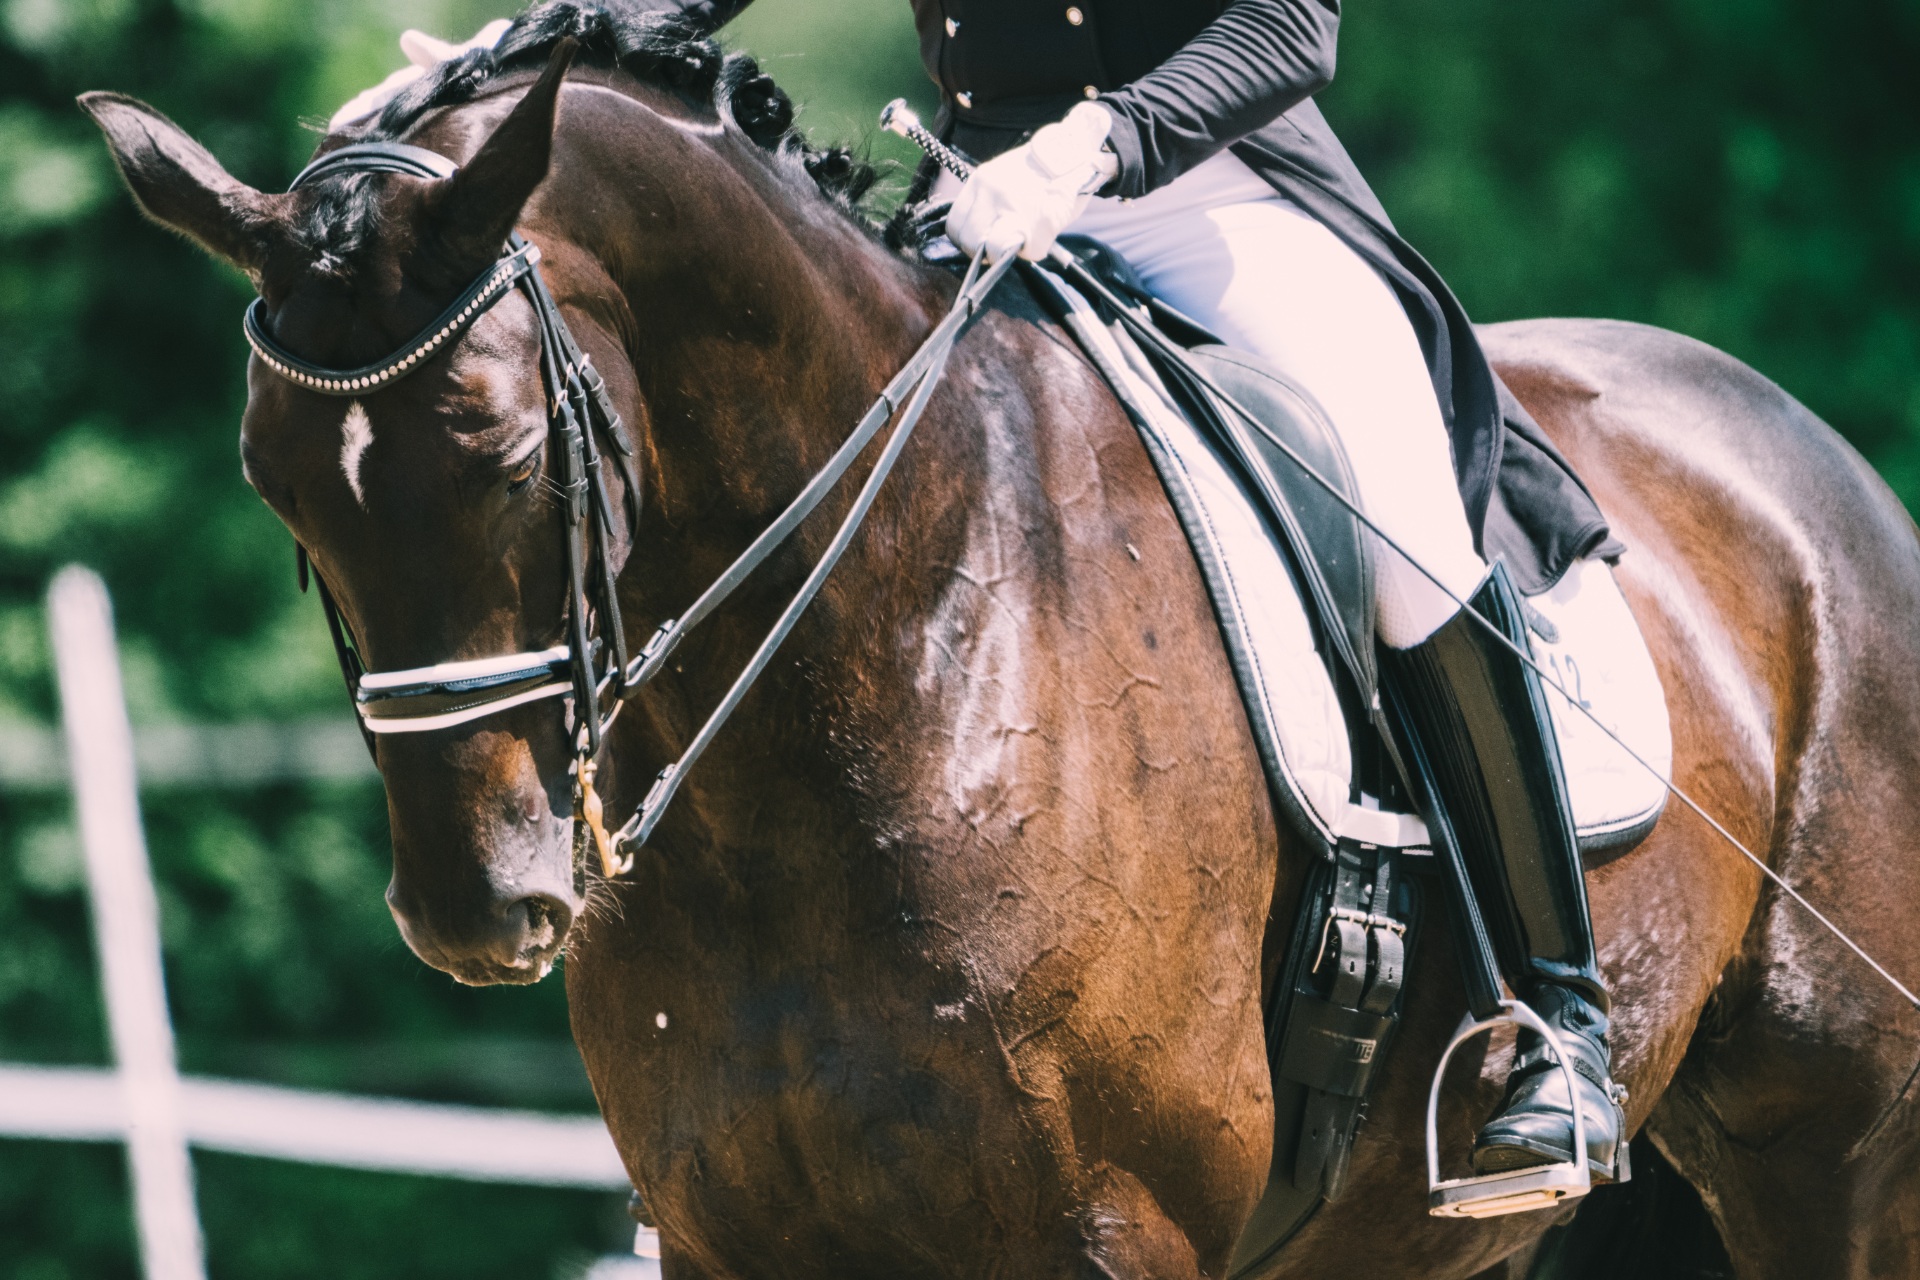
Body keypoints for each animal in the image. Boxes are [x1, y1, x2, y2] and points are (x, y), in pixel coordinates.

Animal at [83, 12, 1920, 1277]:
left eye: (509, 456)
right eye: (273, 484)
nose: (478, 910)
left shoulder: (1101, 1232)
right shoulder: (730, 1237)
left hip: (1827, 1156)